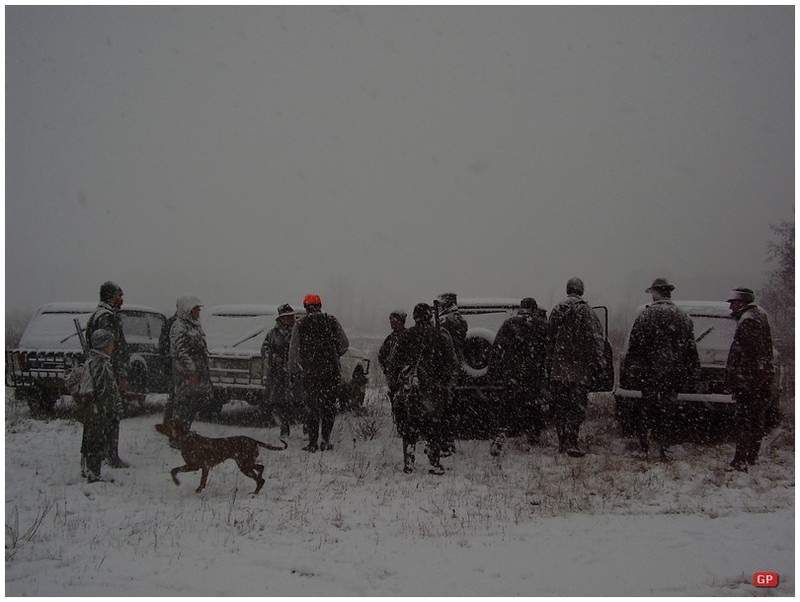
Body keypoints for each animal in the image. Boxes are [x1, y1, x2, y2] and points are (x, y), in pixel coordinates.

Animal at [153, 418, 288, 492]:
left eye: (166, 424)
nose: (155, 425)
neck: (186, 438)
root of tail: (253, 440)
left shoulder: (199, 466)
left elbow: (201, 481)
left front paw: (192, 488)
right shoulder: (195, 466)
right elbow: (174, 470)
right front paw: (177, 482)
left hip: (245, 465)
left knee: (260, 480)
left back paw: (254, 494)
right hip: (246, 463)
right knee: (261, 469)